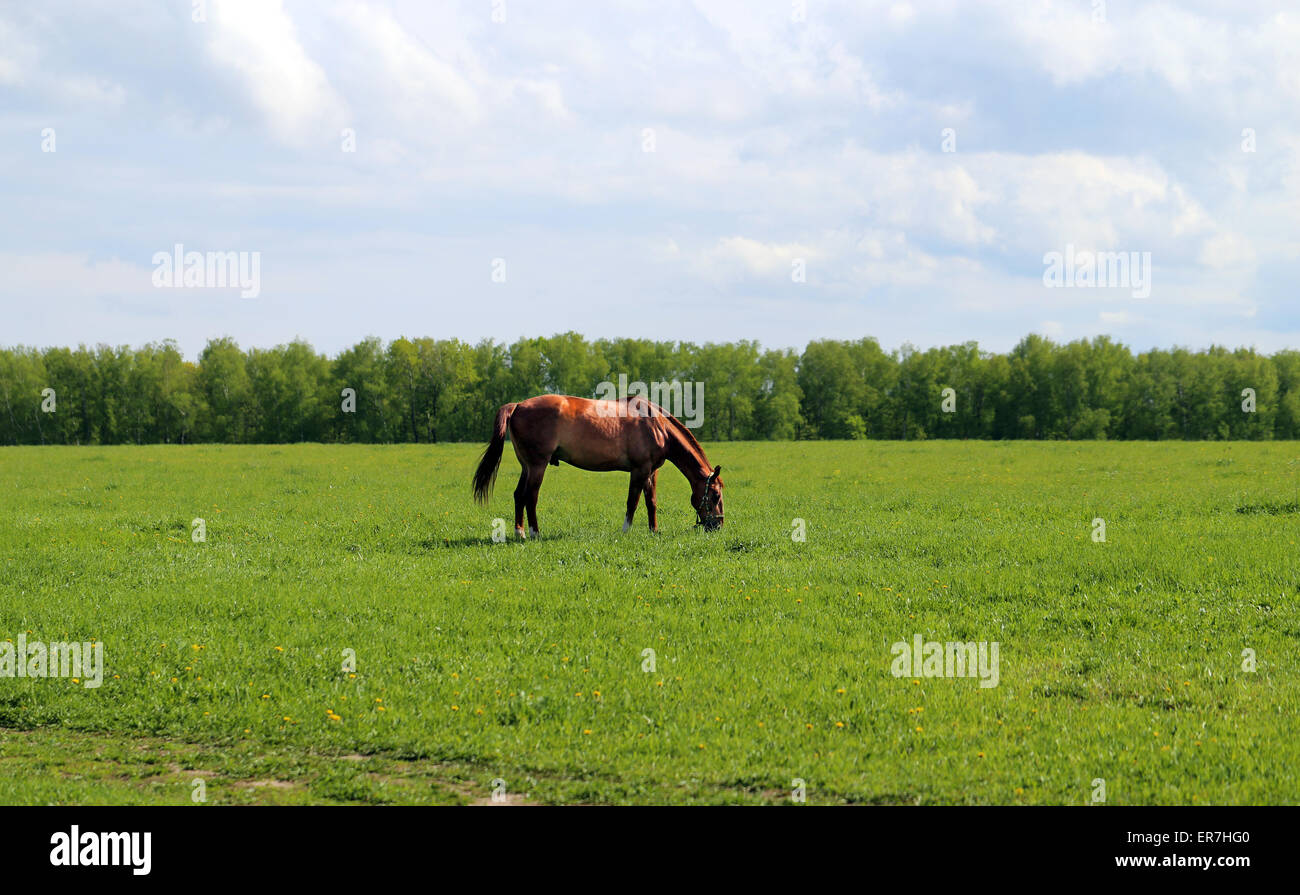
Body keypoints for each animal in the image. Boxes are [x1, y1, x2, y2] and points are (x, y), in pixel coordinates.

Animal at [473, 392, 728, 535]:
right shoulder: (639, 470)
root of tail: (517, 405)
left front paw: (654, 530)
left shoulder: (650, 472)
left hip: (526, 466)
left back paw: (520, 532)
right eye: (715, 495)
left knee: (519, 495)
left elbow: (651, 502)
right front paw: (626, 531)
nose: (718, 526)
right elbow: (632, 502)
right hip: (537, 466)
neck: (655, 424)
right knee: (530, 496)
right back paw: (535, 533)